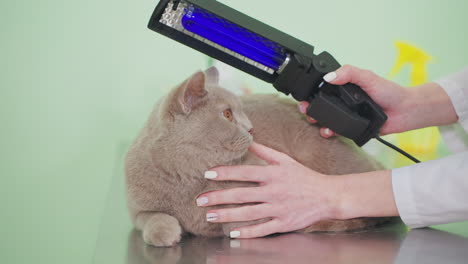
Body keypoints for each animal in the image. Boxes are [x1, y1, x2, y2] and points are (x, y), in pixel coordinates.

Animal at [125, 66, 388, 248]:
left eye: (241, 111)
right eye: (227, 114)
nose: (251, 128)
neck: (188, 178)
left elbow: (238, 223)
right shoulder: (138, 210)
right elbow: (152, 217)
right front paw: (165, 233)